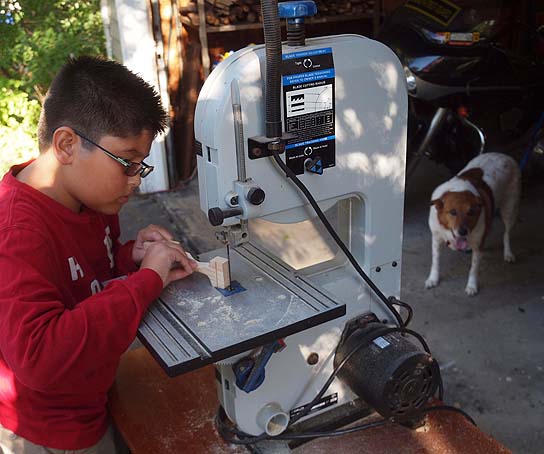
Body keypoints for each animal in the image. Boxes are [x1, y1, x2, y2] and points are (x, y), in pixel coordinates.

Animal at [424, 152, 524, 294]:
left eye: (471, 212)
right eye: (453, 212)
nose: (463, 232)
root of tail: (504, 155)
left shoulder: (477, 246)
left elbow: (474, 268)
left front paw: (472, 286)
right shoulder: (436, 239)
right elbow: (435, 262)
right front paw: (433, 279)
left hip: (510, 209)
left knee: (506, 233)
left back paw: (508, 253)